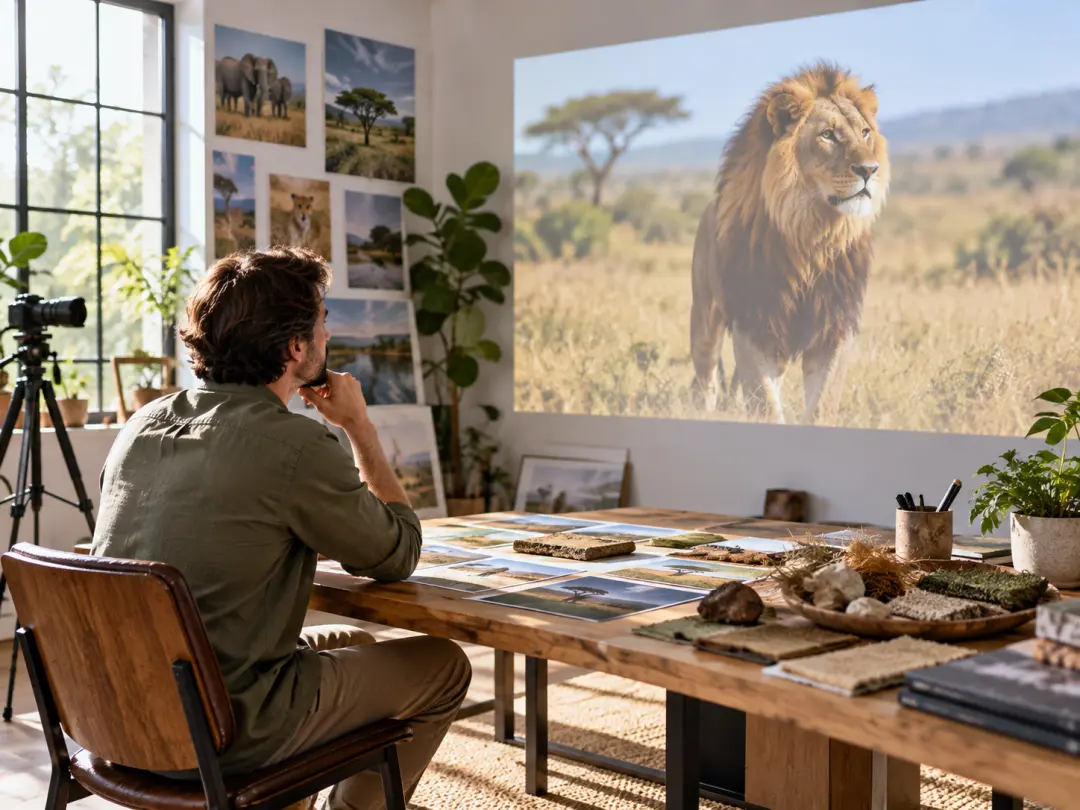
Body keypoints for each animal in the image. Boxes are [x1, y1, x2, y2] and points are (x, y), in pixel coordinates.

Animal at [690, 62, 890, 425]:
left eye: (865, 132)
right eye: (827, 135)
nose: (870, 169)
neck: (811, 234)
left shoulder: (834, 326)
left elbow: (822, 403)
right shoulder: (753, 324)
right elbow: (765, 403)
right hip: (704, 316)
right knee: (705, 376)